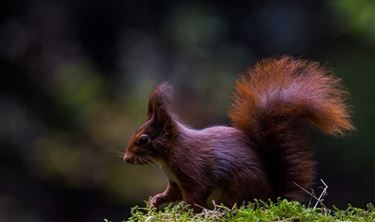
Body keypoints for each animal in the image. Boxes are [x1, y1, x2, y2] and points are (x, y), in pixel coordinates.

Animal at [124, 56, 356, 211]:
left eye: (143, 139)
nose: (126, 158)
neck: (171, 152)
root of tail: (270, 196)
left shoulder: (194, 171)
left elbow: (196, 195)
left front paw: (188, 210)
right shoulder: (175, 182)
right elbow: (171, 193)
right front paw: (156, 200)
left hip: (239, 185)